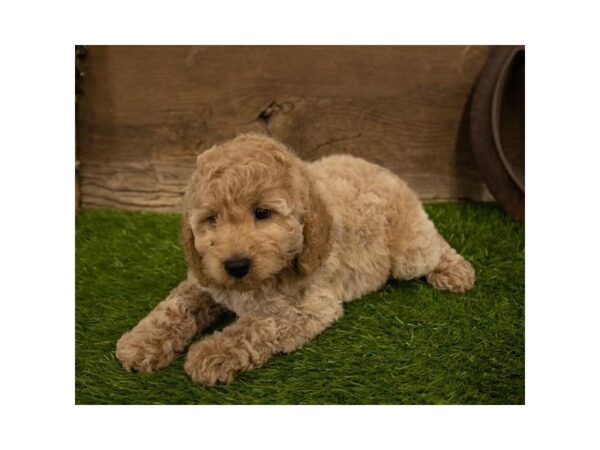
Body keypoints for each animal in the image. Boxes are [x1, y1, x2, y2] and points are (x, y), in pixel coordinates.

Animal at [116, 132, 474, 384]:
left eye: (262, 213)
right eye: (211, 219)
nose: (235, 265)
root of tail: (384, 169)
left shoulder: (308, 306)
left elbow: (257, 324)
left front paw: (212, 353)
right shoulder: (206, 278)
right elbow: (177, 307)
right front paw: (142, 342)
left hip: (408, 252)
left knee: (433, 242)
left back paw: (456, 271)